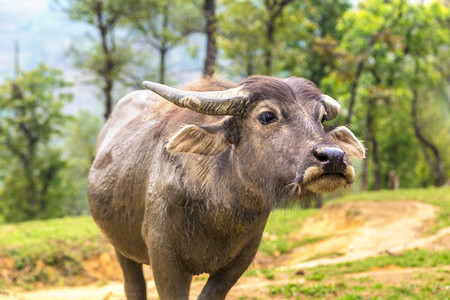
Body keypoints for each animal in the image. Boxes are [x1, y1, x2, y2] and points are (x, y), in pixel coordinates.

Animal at [88, 74, 366, 298]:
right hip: (121, 248)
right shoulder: (164, 258)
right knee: (133, 286)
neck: (217, 212)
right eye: (267, 116)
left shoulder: (241, 259)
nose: (334, 157)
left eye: (322, 118)